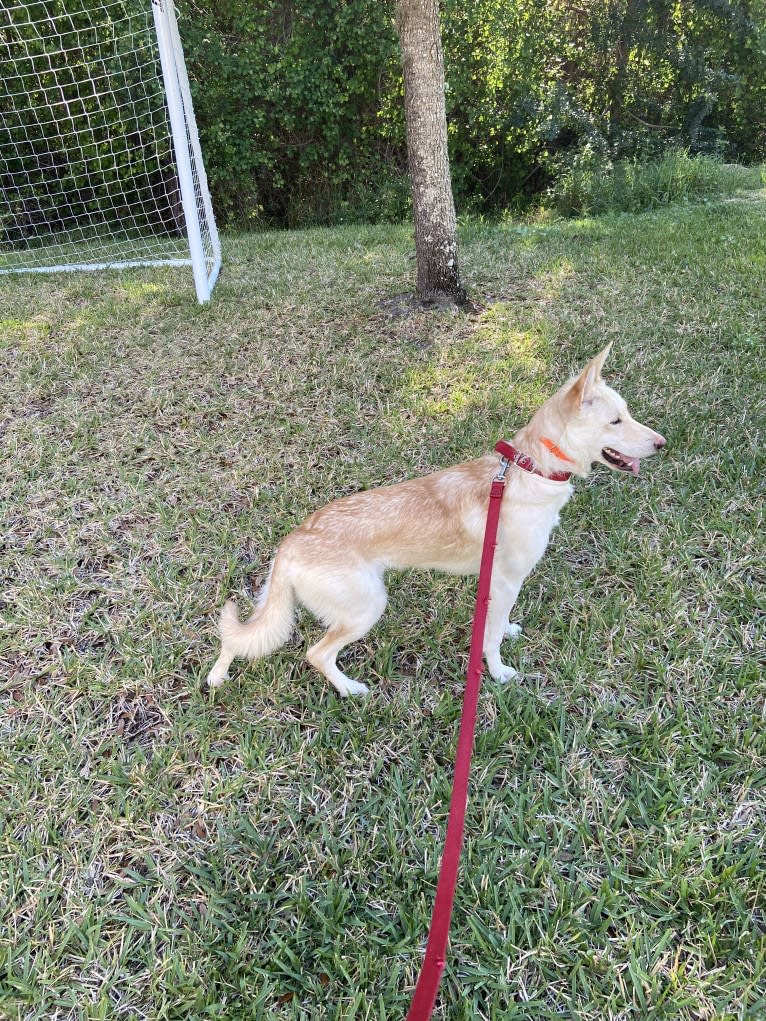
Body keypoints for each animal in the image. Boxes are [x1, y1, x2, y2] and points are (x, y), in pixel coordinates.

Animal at [208, 347, 665, 698]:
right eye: (615, 421)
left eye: (627, 414)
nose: (662, 443)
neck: (530, 468)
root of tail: (294, 538)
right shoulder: (505, 581)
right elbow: (490, 639)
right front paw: (498, 673)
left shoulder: (499, 585)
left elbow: (499, 625)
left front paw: (508, 632)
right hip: (366, 607)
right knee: (316, 654)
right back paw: (350, 689)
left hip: (283, 604)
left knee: (238, 638)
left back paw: (218, 674)